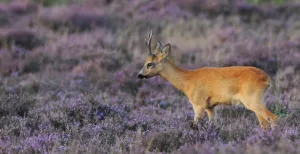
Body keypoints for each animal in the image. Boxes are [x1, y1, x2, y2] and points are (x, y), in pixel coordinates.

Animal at [137, 30, 278, 129]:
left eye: (149, 64)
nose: (139, 75)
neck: (188, 80)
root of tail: (266, 78)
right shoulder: (211, 107)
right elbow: (214, 126)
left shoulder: (198, 104)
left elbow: (194, 126)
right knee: (264, 123)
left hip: (252, 100)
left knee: (273, 118)